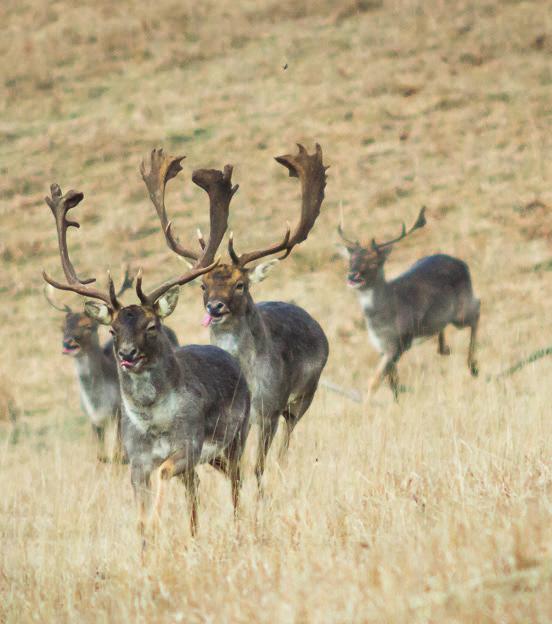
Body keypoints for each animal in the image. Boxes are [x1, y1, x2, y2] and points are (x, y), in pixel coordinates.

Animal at [42, 163, 249, 552]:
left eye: (152, 325)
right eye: (112, 330)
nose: (128, 354)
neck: (154, 425)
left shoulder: (188, 443)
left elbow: (163, 475)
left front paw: (155, 527)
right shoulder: (134, 458)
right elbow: (141, 511)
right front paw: (145, 546)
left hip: (235, 438)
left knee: (237, 482)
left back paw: (242, 525)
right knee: (196, 490)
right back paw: (195, 536)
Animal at [144, 144, 330, 490]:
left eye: (240, 284)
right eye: (203, 285)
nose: (214, 307)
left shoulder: (269, 409)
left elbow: (257, 467)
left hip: (302, 397)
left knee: (287, 440)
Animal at [336, 206, 478, 400]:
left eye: (374, 262)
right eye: (350, 261)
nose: (352, 276)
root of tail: (463, 263)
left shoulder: (400, 342)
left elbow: (374, 382)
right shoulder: (382, 346)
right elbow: (392, 382)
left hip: (461, 310)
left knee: (477, 310)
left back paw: (473, 367)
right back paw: (445, 349)